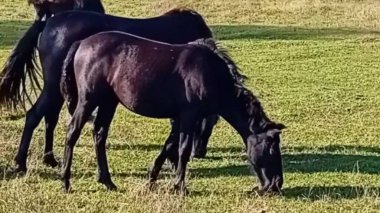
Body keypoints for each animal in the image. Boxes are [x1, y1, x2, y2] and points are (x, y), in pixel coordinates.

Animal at [0, 8, 223, 173]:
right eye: (210, 124)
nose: (200, 152)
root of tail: (48, 23)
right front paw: (174, 161)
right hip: (54, 86)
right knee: (34, 115)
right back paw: (21, 163)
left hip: (58, 89)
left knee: (49, 118)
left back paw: (50, 159)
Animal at [60, 31, 284, 195]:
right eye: (271, 149)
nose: (276, 185)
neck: (209, 74)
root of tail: (81, 43)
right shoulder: (189, 117)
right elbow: (183, 151)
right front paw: (179, 186)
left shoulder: (180, 119)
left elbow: (168, 147)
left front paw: (152, 179)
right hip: (88, 101)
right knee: (72, 133)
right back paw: (66, 181)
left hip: (109, 102)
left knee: (99, 135)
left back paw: (107, 181)